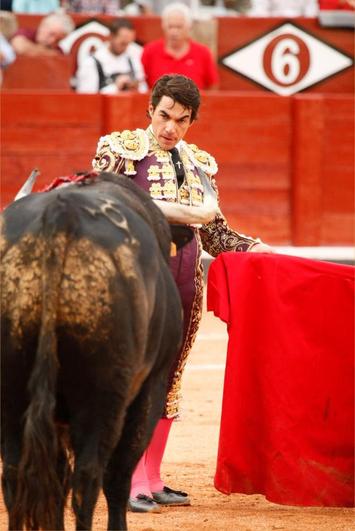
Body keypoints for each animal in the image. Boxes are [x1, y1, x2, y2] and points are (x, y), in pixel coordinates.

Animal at [0, 172, 184, 528]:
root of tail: (60, 216)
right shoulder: (149, 389)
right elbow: (118, 475)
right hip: (104, 391)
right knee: (89, 478)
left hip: (11, 390)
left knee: (17, 476)